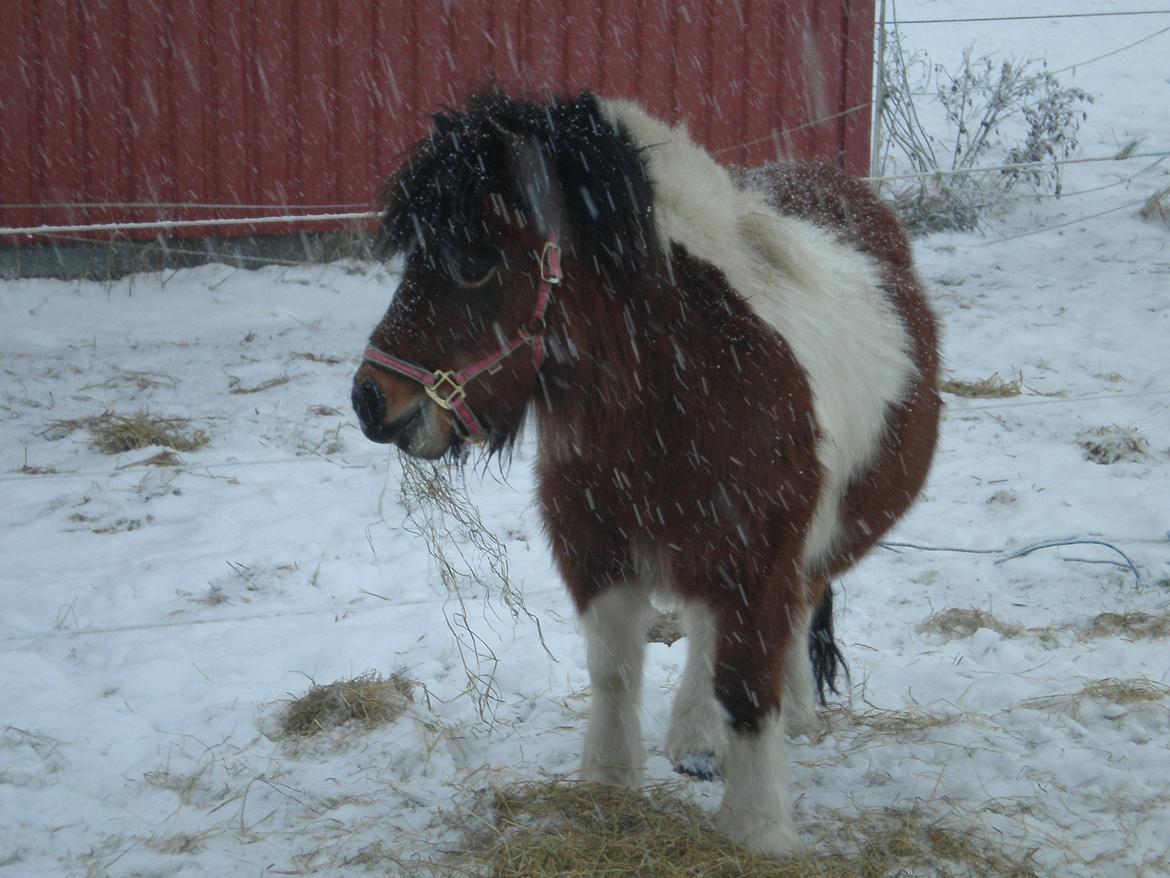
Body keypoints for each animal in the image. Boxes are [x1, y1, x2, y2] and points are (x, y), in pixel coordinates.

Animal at [348, 91, 940, 861]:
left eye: (475, 262)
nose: (370, 400)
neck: (680, 381)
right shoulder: (594, 542)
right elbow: (615, 670)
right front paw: (606, 783)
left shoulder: (760, 557)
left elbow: (749, 687)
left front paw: (759, 828)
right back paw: (695, 738)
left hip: (813, 540)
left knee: (791, 612)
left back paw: (787, 720)